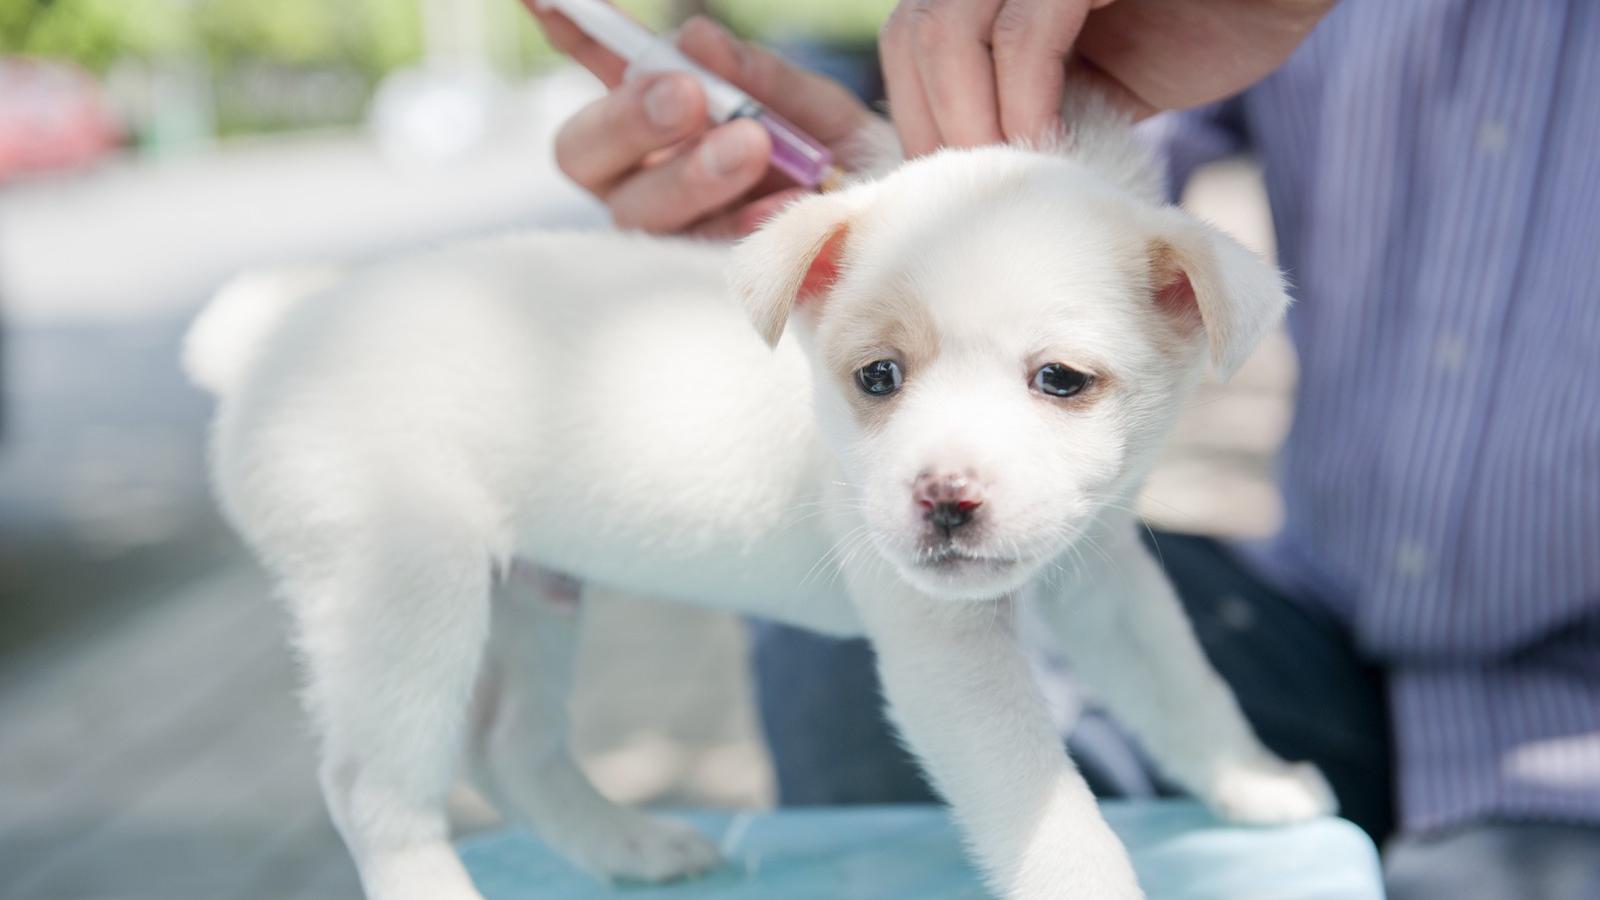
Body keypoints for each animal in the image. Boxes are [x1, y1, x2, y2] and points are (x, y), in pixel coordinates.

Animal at [187, 112, 1337, 896]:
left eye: (1059, 380)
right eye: (877, 377)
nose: (943, 500)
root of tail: (273, 342)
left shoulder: (1106, 582)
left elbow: (1183, 689)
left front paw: (1253, 781)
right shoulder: (950, 658)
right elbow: (1048, 807)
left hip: (526, 597)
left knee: (512, 748)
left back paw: (632, 845)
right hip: (402, 595)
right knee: (374, 791)